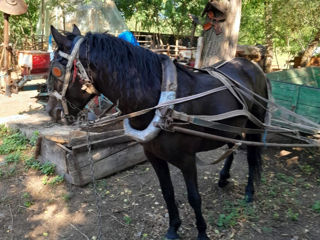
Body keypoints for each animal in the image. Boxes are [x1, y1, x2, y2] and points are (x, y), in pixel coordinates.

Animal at [46, 25, 268, 239]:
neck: (161, 103)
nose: (52, 111)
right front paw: (173, 229)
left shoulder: (187, 160)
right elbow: (167, 193)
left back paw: (249, 192)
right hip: (231, 126)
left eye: (56, 70)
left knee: (251, 156)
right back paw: (223, 178)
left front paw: (202, 232)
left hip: (254, 124)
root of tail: (251, 65)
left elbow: (194, 198)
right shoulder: (154, 157)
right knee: (233, 145)